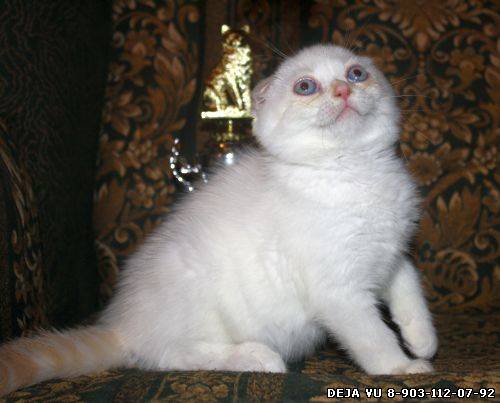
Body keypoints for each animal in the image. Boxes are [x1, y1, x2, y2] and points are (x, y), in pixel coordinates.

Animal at [0, 44, 438, 396]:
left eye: (356, 73)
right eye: (306, 87)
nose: (344, 90)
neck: (354, 172)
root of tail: (123, 323)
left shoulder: (391, 255)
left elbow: (410, 292)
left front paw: (422, 340)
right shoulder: (340, 292)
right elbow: (373, 337)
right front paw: (402, 368)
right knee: (167, 356)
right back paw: (257, 357)